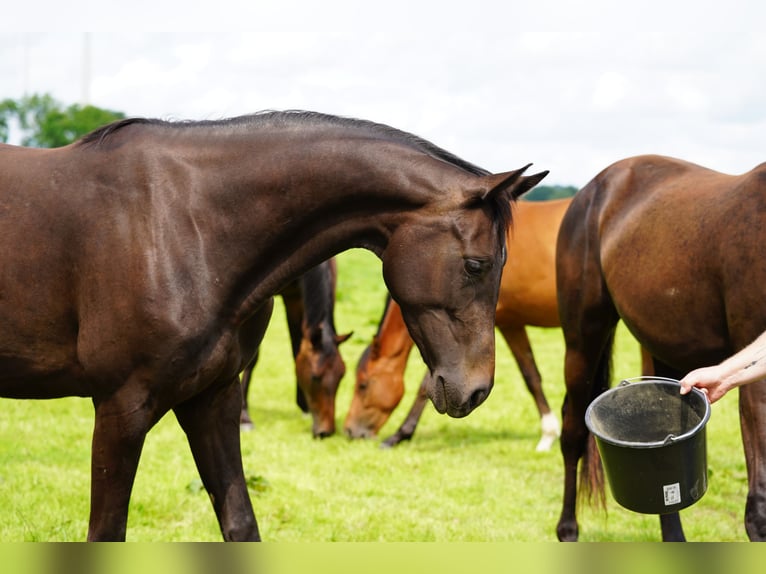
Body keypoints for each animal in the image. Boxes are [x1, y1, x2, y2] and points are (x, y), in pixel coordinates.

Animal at [238, 258, 352, 438]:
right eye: (315, 377)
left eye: (341, 375)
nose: (325, 432)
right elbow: (251, 358)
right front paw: (244, 417)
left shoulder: (295, 297)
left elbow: (297, 347)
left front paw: (304, 406)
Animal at [344, 200, 572, 452]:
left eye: (363, 385)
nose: (350, 431)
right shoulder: (511, 323)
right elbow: (531, 375)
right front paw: (549, 434)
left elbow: (428, 384)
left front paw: (400, 434)